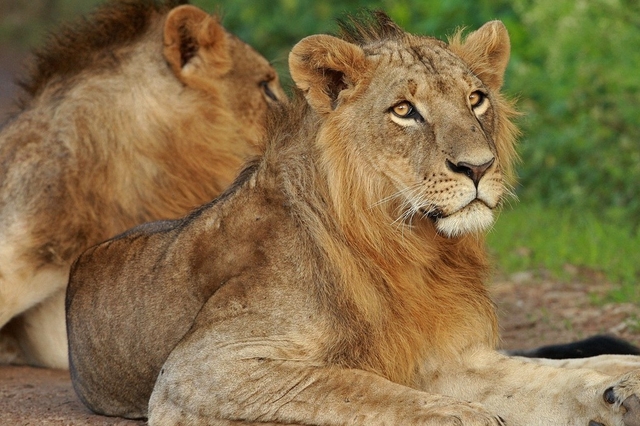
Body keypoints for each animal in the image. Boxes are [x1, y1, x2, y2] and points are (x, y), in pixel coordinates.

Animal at [66, 11, 640, 424]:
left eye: (476, 99)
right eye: (404, 110)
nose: (478, 167)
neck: (413, 245)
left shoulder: (444, 358)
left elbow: (552, 374)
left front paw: (620, 384)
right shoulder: (200, 369)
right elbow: (353, 385)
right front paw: (466, 415)